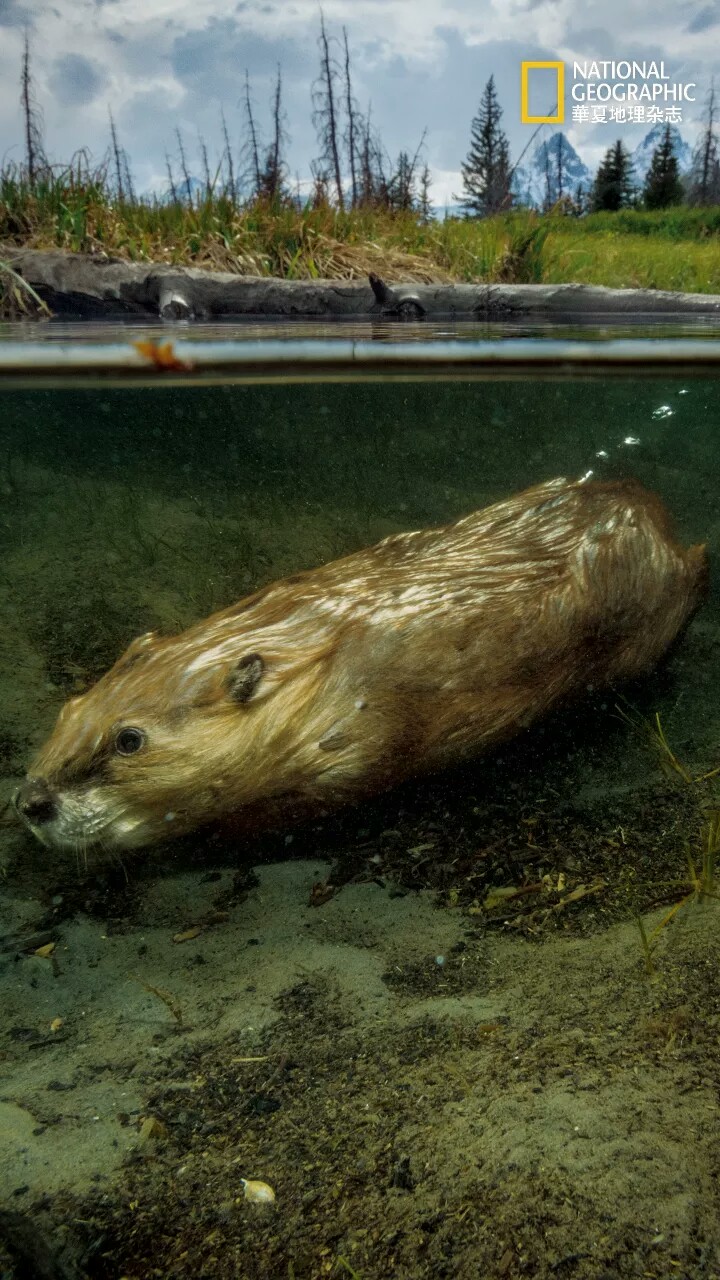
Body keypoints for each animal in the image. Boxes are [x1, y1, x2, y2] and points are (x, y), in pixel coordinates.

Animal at [14, 476, 702, 855]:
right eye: (70, 708)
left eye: (129, 740)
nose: (29, 802)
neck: (313, 650)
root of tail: (660, 514)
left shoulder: (363, 731)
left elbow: (336, 790)